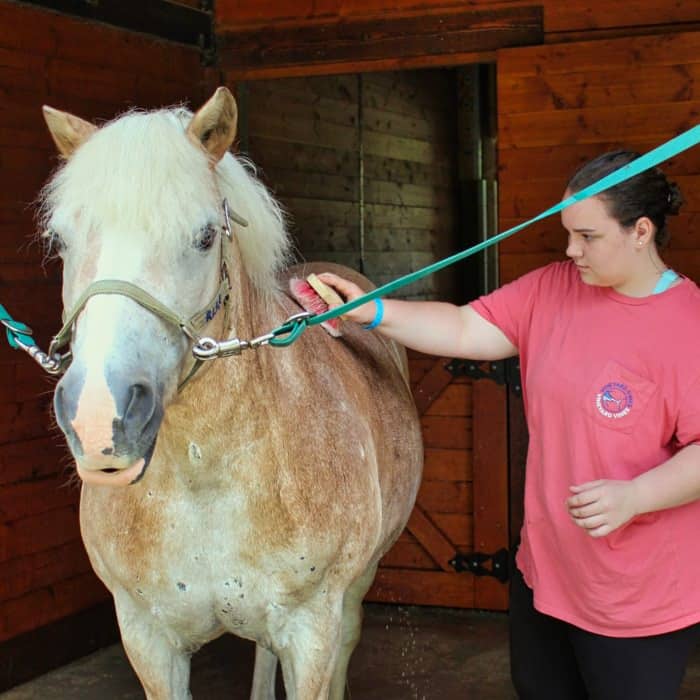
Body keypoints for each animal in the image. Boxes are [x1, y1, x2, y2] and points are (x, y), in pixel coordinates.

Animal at [38, 89, 424, 700]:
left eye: (203, 237)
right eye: (61, 241)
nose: (100, 416)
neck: (207, 476)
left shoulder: (312, 631)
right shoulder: (147, 638)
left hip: (354, 593)